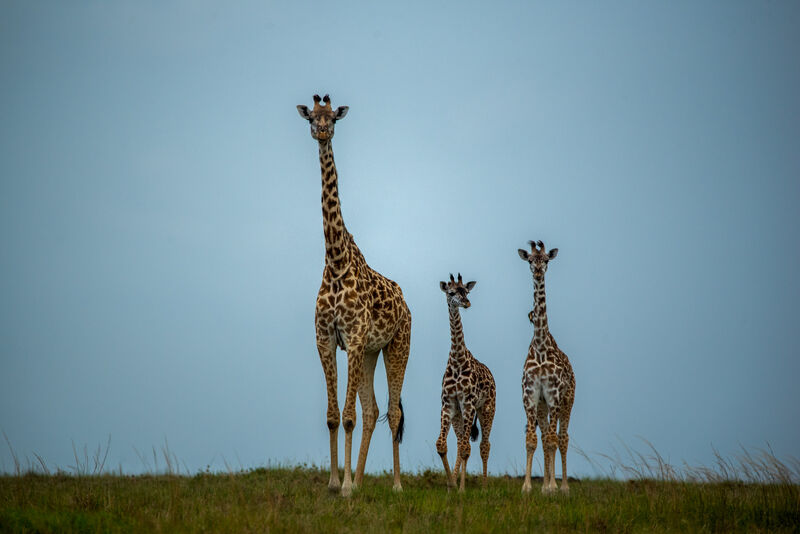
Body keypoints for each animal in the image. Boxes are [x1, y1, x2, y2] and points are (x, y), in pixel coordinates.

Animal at [297, 94, 411, 497]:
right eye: (311, 117)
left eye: (332, 117)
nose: (321, 131)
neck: (335, 261)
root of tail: (406, 305)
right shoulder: (327, 339)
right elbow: (333, 416)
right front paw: (335, 482)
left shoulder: (355, 337)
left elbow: (347, 417)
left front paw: (345, 486)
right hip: (371, 353)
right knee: (373, 410)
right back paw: (361, 479)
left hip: (397, 346)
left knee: (392, 411)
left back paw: (395, 484)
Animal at [435, 273, 496, 492]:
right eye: (452, 292)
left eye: (466, 291)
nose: (467, 303)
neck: (457, 360)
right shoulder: (448, 404)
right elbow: (442, 445)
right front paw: (451, 485)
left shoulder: (468, 403)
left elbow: (465, 448)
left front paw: (461, 489)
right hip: (459, 415)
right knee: (461, 440)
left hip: (486, 409)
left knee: (483, 445)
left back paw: (485, 487)